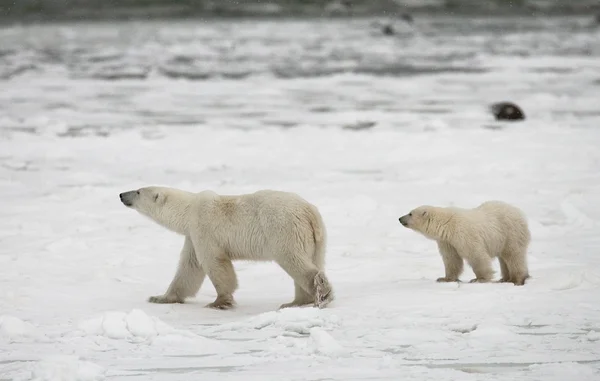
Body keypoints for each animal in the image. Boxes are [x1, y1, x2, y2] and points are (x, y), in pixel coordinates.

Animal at [117, 186, 332, 308]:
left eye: (138, 191)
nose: (121, 195)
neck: (188, 209)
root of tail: (309, 211)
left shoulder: (204, 228)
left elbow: (214, 262)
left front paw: (219, 301)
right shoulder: (192, 236)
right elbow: (189, 268)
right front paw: (159, 297)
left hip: (282, 228)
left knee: (294, 260)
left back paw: (321, 293)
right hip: (316, 238)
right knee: (313, 260)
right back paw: (296, 302)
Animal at [398, 199, 528, 284]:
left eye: (410, 213)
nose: (399, 218)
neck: (447, 224)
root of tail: (519, 213)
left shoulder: (463, 234)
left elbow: (476, 255)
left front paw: (479, 279)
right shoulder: (447, 241)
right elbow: (451, 259)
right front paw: (444, 278)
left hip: (510, 233)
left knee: (513, 255)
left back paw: (517, 279)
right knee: (504, 258)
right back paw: (505, 279)